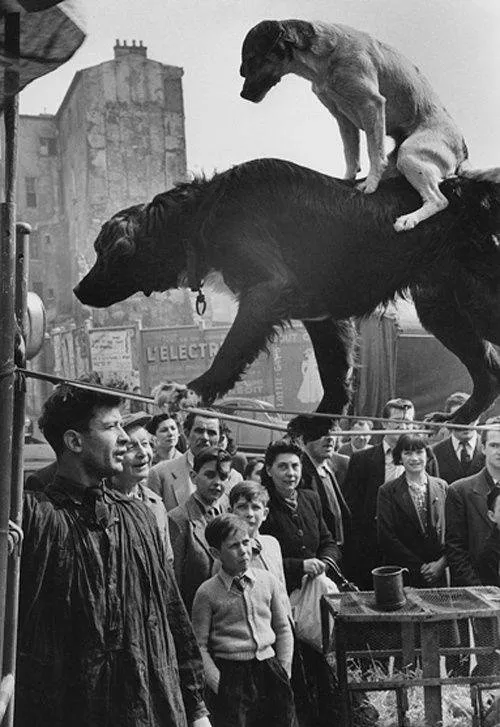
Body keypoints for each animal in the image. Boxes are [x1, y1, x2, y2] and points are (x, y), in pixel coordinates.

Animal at [240, 19, 466, 232]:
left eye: (251, 59)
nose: (243, 95)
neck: (324, 58)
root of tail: (463, 152)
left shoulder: (372, 104)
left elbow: (374, 152)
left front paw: (370, 184)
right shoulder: (343, 118)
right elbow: (350, 153)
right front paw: (347, 180)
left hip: (409, 154)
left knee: (439, 200)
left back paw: (408, 219)